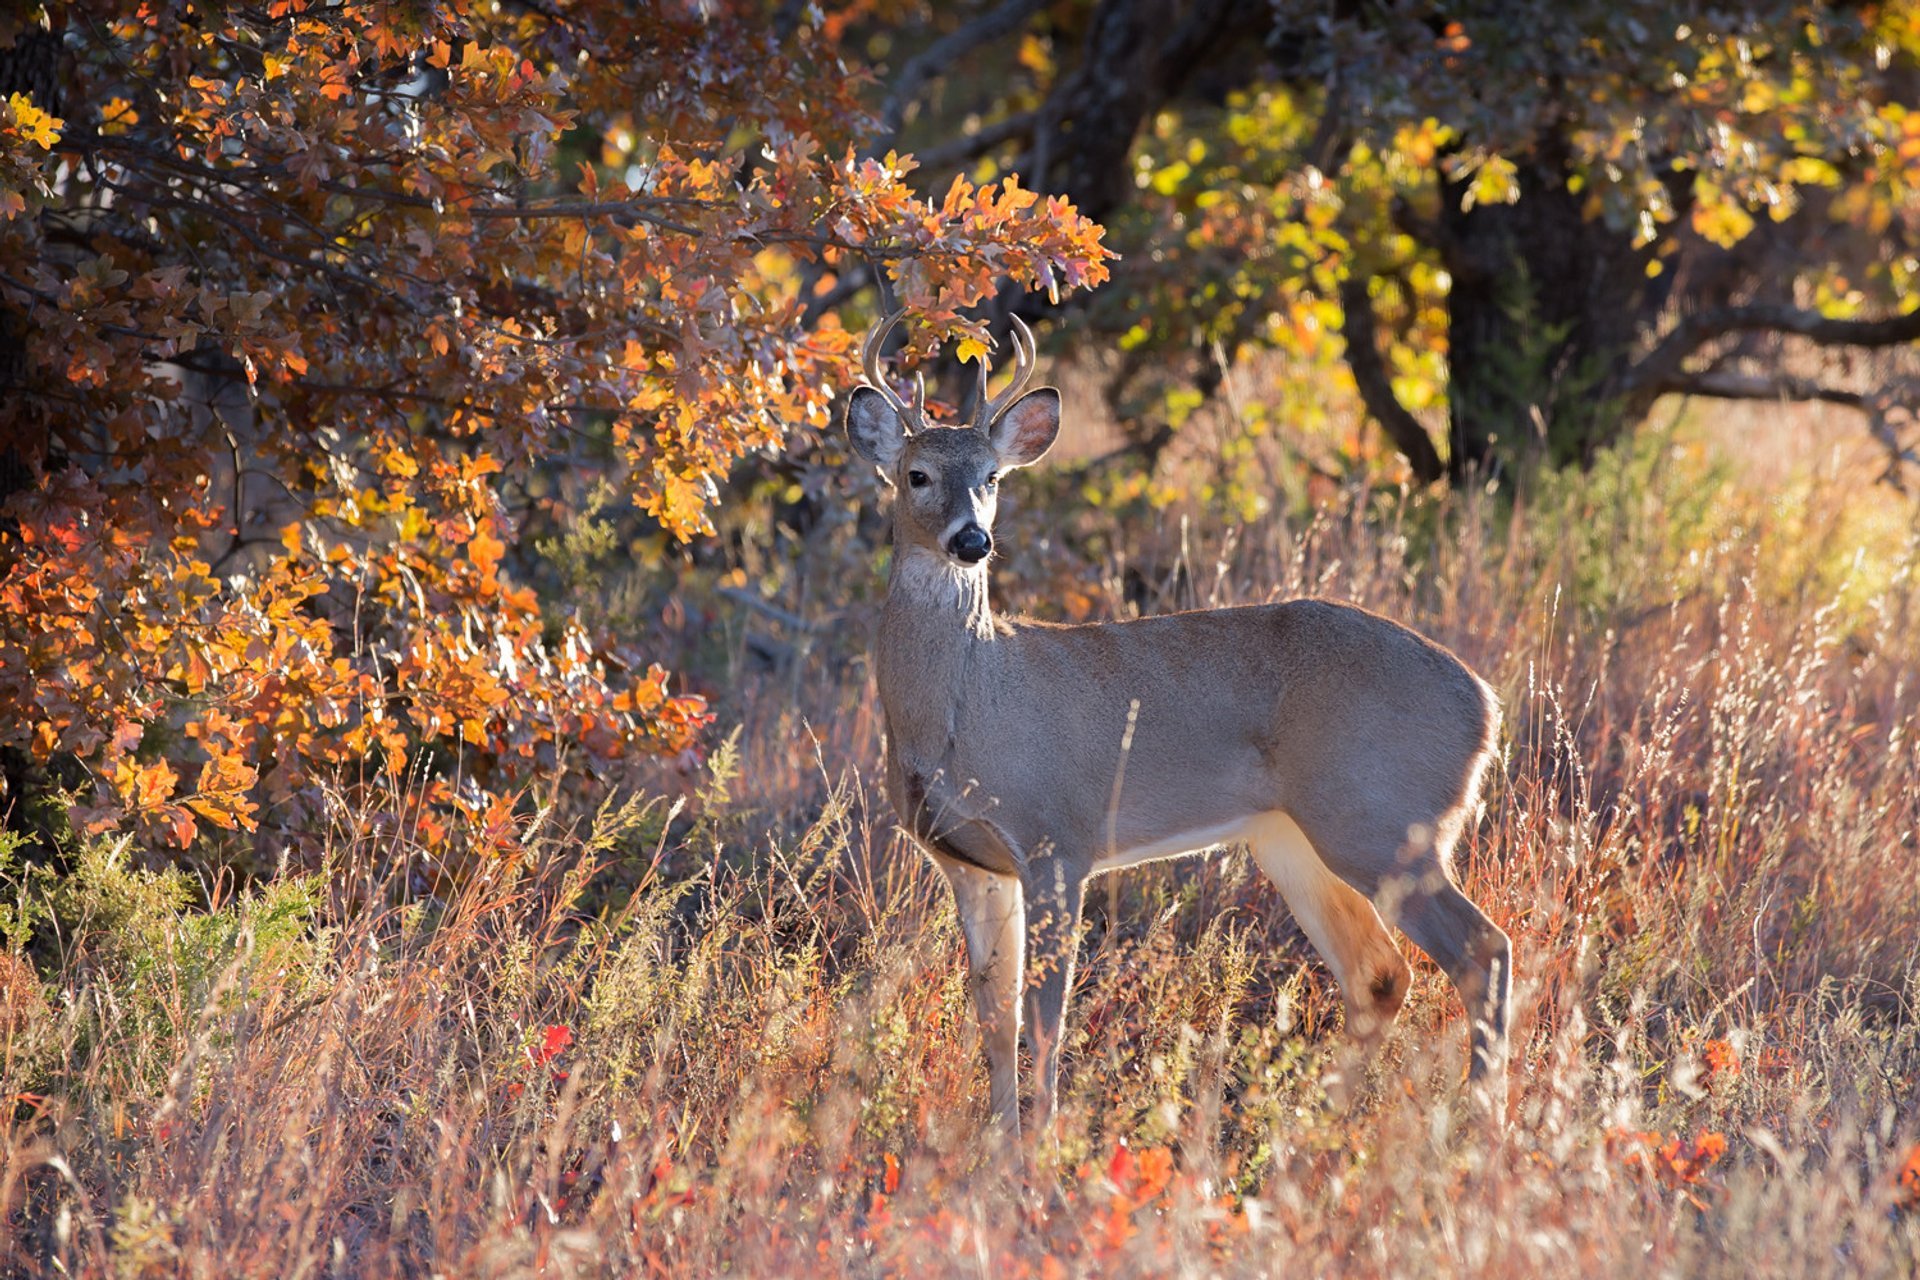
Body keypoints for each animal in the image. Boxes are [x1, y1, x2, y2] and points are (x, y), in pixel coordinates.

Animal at [848, 312, 1505, 1143]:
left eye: (992, 478)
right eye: (917, 476)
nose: (972, 541)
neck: (965, 706)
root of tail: (1484, 704)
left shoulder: (1057, 838)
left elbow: (1045, 1015)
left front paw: (1041, 1146)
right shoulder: (967, 861)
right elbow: (994, 1016)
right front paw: (998, 1146)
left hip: (1384, 821)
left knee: (1481, 949)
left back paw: (1478, 1128)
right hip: (1296, 839)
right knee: (1380, 974)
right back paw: (1311, 1131)